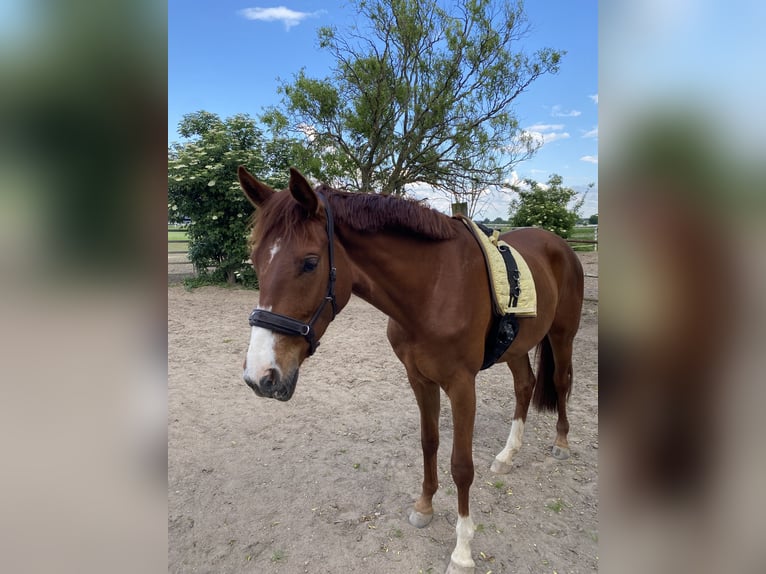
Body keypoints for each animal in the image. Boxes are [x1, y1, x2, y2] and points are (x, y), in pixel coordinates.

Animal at [237, 166, 584, 574]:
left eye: (309, 262)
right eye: (256, 260)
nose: (260, 375)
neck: (432, 288)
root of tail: (561, 245)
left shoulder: (462, 385)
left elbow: (461, 465)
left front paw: (462, 551)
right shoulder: (419, 379)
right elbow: (428, 442)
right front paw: (425, 507)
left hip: (562, 335)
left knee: (560, 381)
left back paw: (561, 443)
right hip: (517, 344)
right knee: (525, 386)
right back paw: (507, 455)